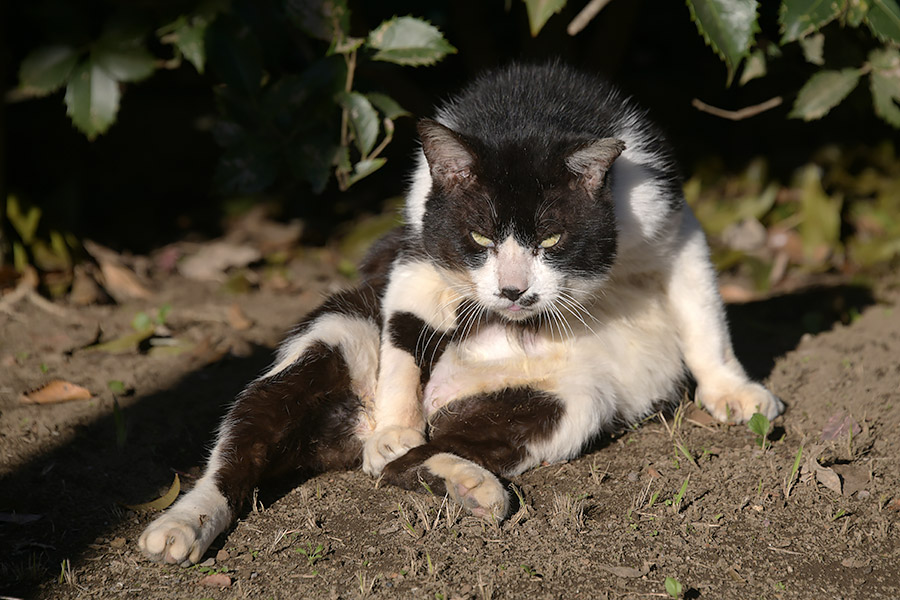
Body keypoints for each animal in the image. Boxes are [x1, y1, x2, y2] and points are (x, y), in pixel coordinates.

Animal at [137, 63, 784, 564]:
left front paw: (735, 391)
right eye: (479, 237)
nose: (514, 291)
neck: (529, 113)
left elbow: (704, 316)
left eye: (552, 240)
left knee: (422, 457)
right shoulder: (419, 249)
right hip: (334, 334)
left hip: (571, 403)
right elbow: (404, 333)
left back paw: (472, 485)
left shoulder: (674, 226)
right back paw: (183, 526)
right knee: (243, 446)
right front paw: (396, 425)